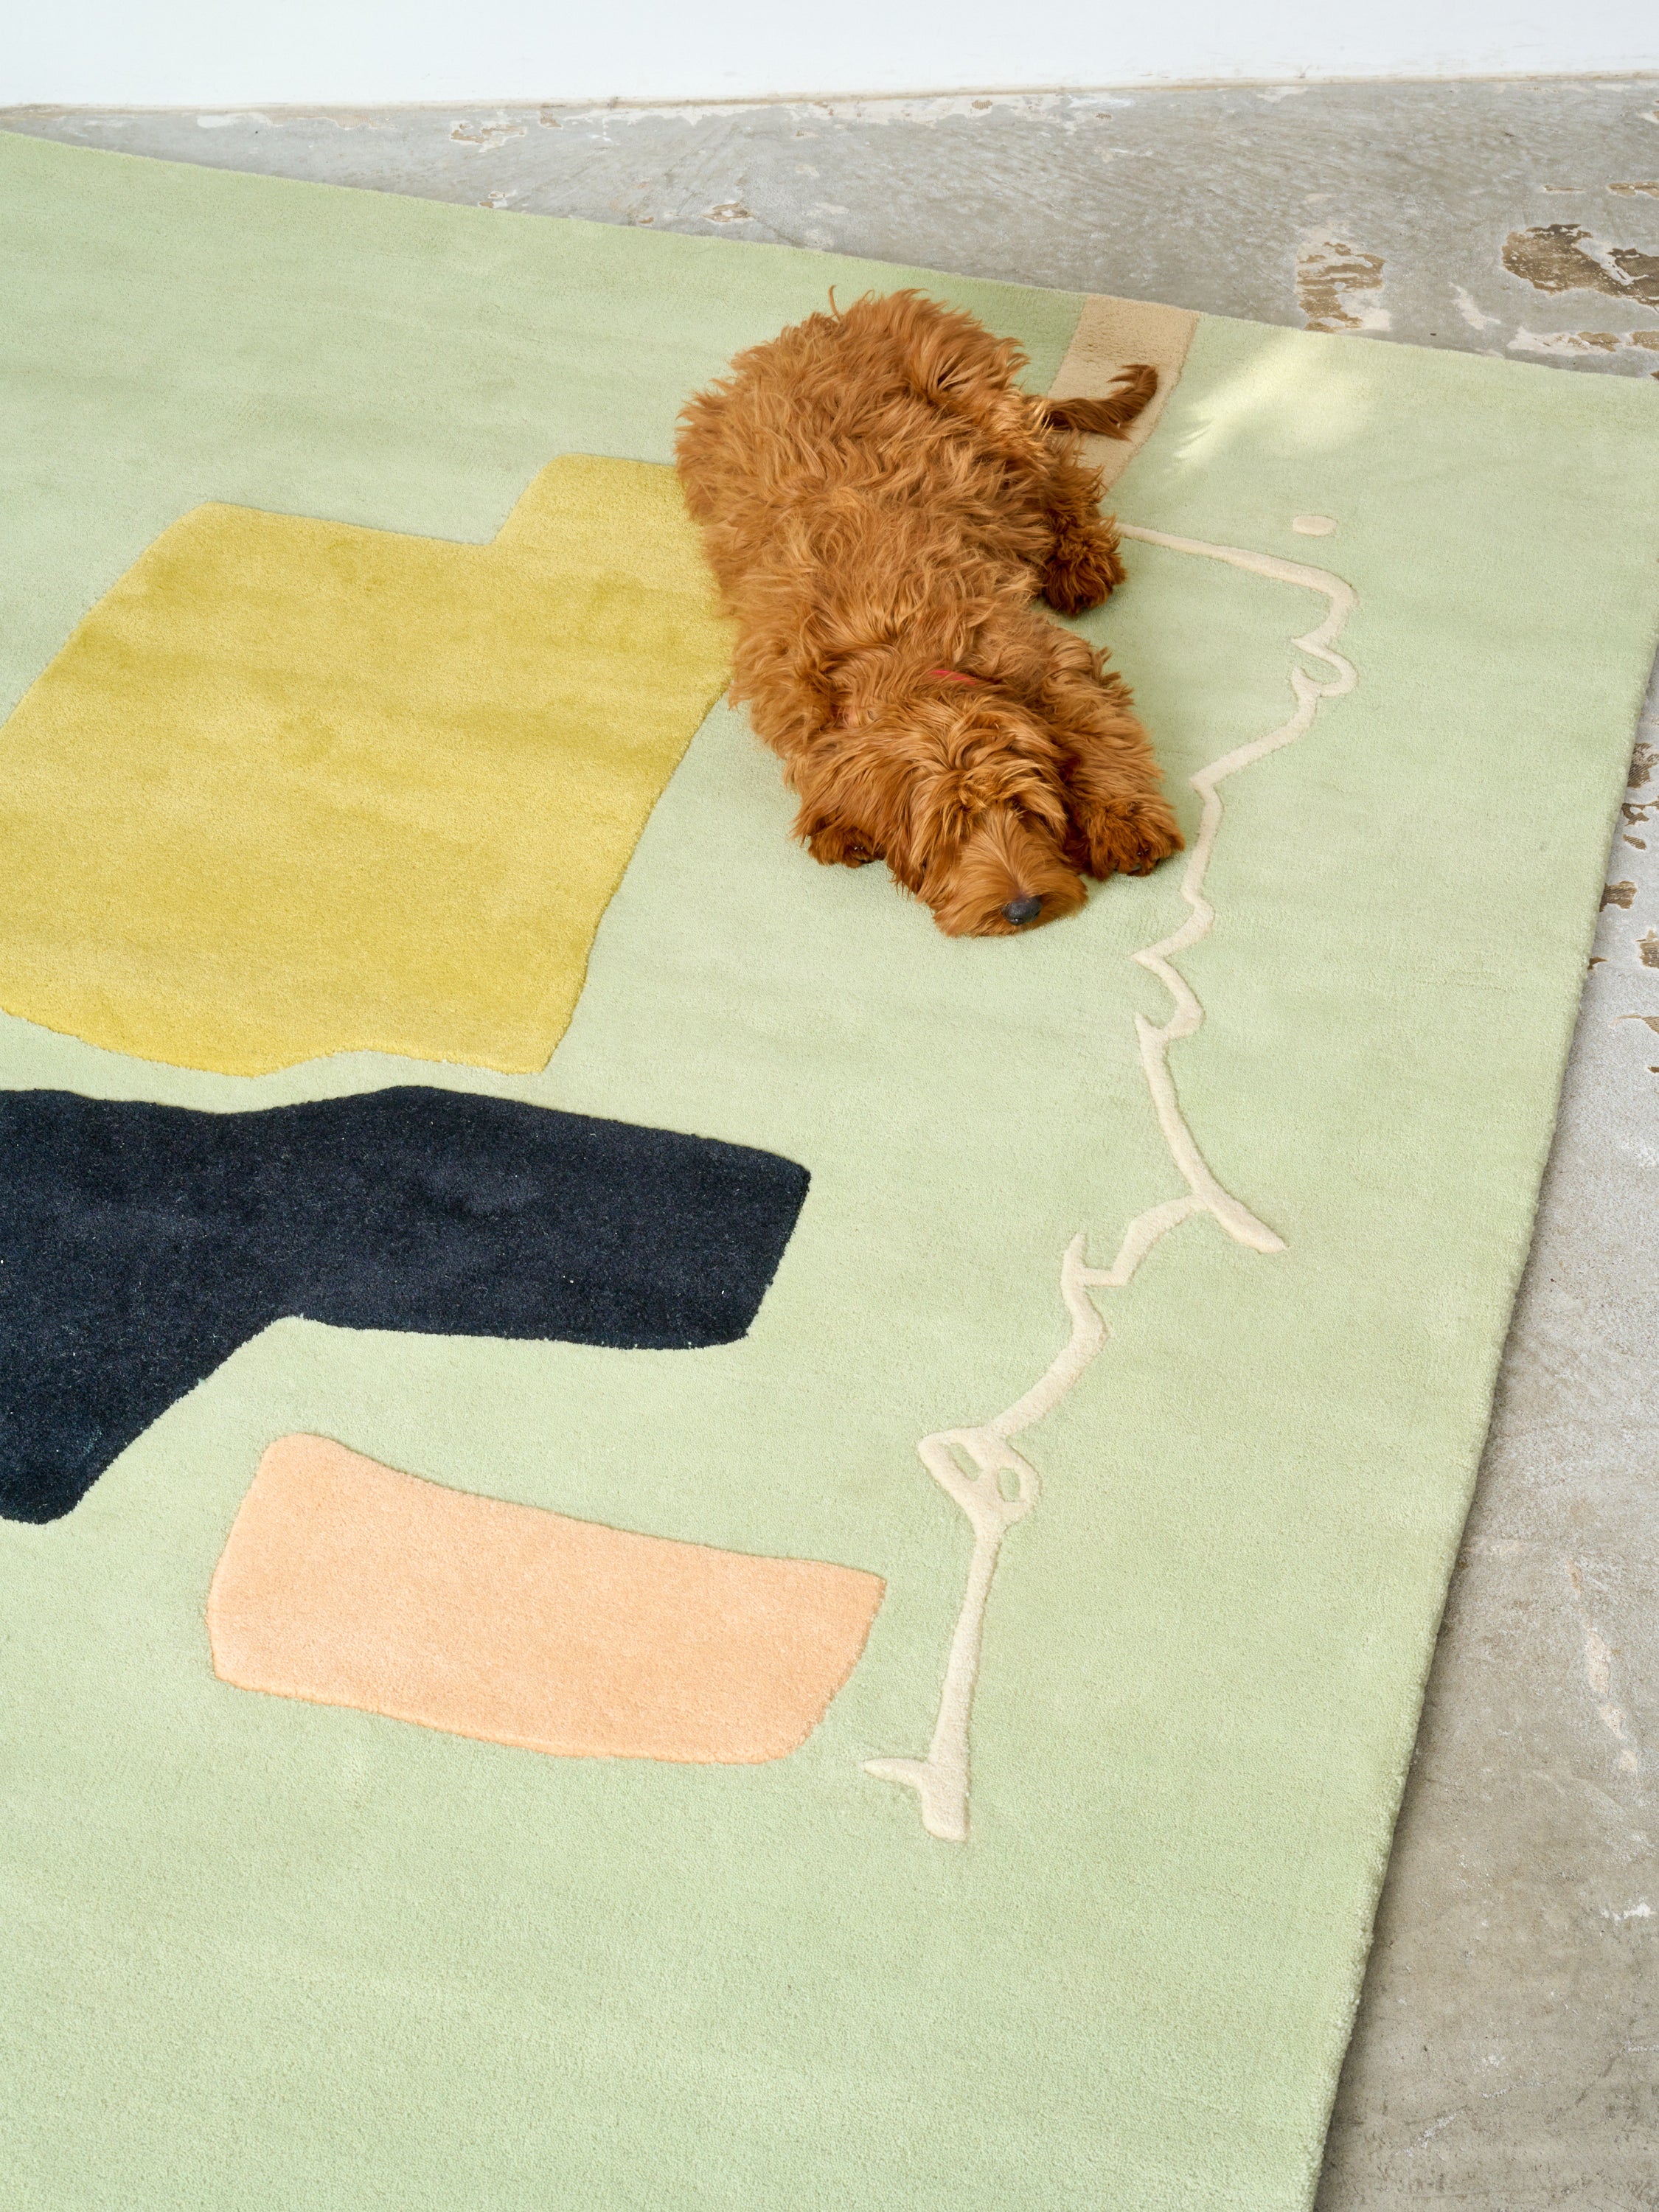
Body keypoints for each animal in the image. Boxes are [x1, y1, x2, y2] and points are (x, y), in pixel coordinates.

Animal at [677, 288, 1186, 933]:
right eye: (949, 832)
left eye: (1025, 808)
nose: (1023, 909)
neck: (895, 651)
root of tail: (834, 318)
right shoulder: (790, 695)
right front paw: (839, 823)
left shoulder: (1043, 657)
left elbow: (1099, 730)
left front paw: (1124, 823)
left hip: (974, 391)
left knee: (1059, 470)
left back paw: (1080, 561)